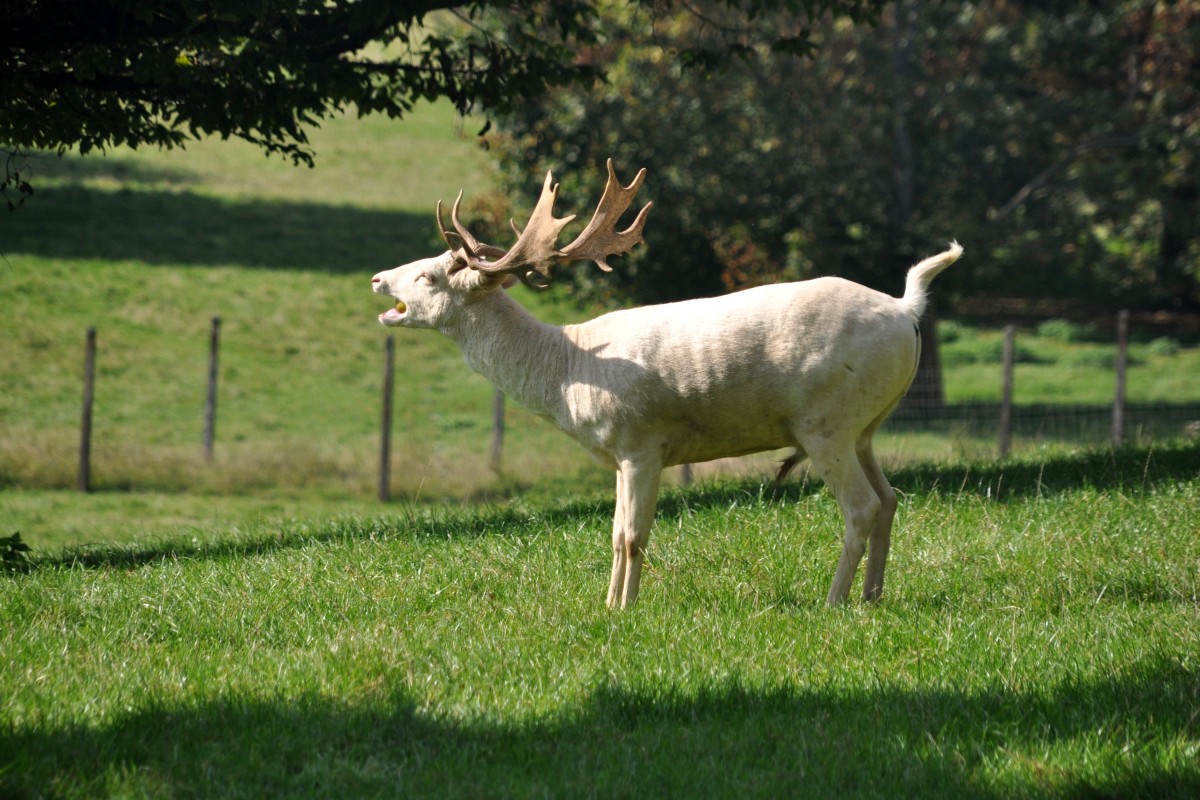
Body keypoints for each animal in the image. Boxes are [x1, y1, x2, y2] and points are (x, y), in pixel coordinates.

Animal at [369, 163, 960, 606]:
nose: (377, 278)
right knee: (890, 498)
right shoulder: (617, 456)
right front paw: (607, 605)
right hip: (863, 428)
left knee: (861, 506)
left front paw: (628, 609)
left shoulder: (641, 442)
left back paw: (834, 601)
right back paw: (872, 597)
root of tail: (907, 309)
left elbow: (634, 537)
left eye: (428, 276)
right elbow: (612, 536)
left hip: (825, 421)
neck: (566, 374)